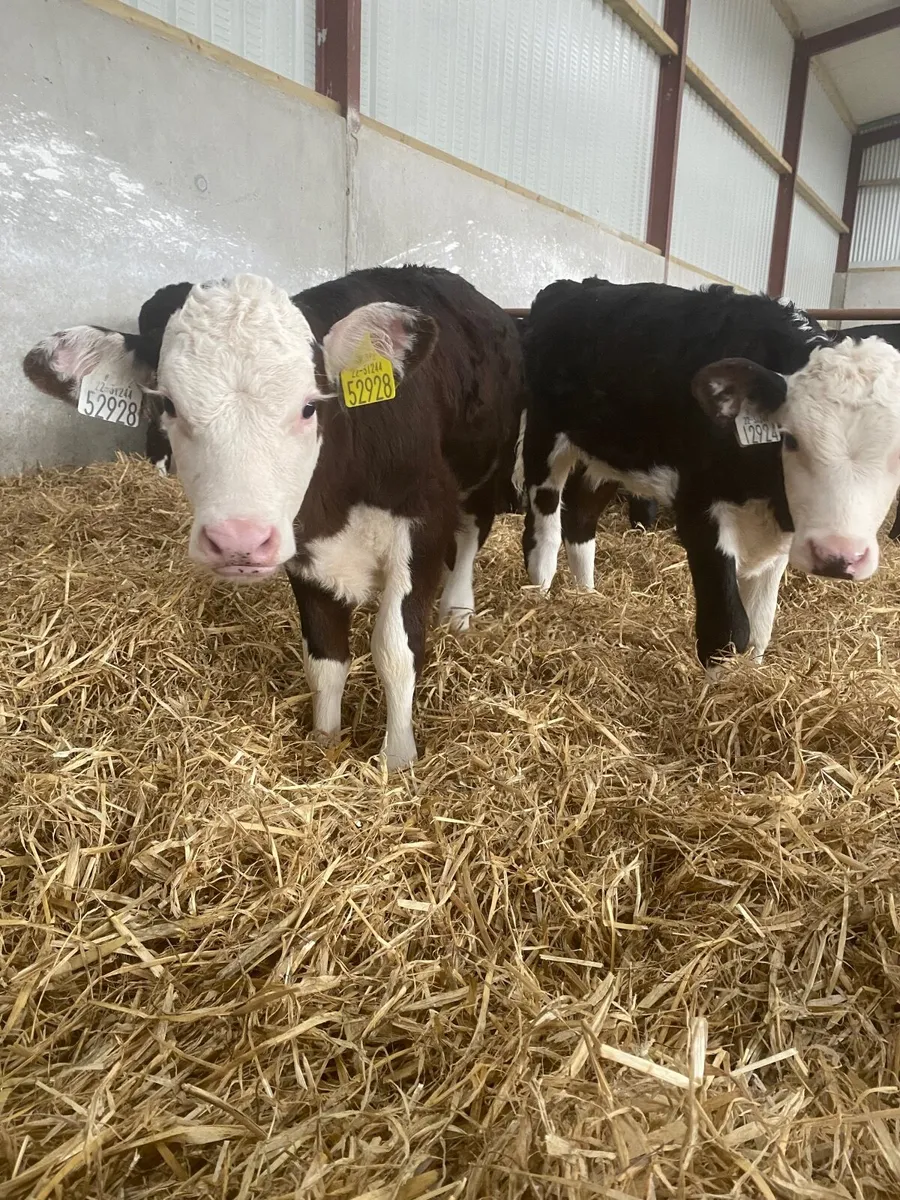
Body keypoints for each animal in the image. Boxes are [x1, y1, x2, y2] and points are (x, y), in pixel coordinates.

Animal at [23, 266, 526, 769]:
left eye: (309, 405)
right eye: (168, 405)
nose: (238, 540)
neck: (336, 503)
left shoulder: (423, 521)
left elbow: (395, 649)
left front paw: (398, 760)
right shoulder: (304, 549)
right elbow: (325, 657)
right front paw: (325, 742)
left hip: (489, 468)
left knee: (471, 536)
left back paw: (457, 610)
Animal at [519, 278, 900, 671]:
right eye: (791, 438)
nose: (838, 556)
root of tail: (578, 286)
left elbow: (760, 628)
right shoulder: (699, 510)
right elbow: (728, 632)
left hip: (606, 455)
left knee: (580, 518)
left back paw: (586, 596)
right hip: (543, 436)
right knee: (543, 528)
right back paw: (540, 598)